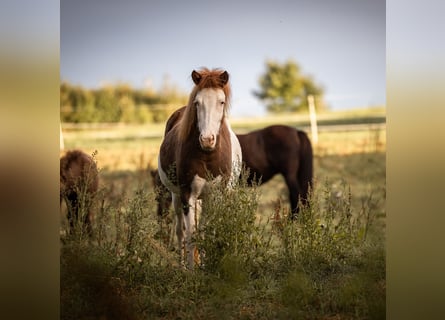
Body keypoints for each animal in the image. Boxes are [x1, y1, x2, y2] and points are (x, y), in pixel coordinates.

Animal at [153, 125, 312, 222]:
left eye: (161, 190)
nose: (160, 216)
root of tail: (297, 132)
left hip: (289, 175)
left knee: (296, 194)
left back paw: (293, 219)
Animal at [157, 69, 241, 268]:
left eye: (221, 101)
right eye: (197, 102)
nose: (207, 139)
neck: (207, 155)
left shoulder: (215, 196)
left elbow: (206, 232)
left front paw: (205, 266)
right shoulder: (187, 195)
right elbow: (190, 236)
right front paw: (191, 269)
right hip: (177, 196)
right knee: (180, 230)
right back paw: (181, 265)